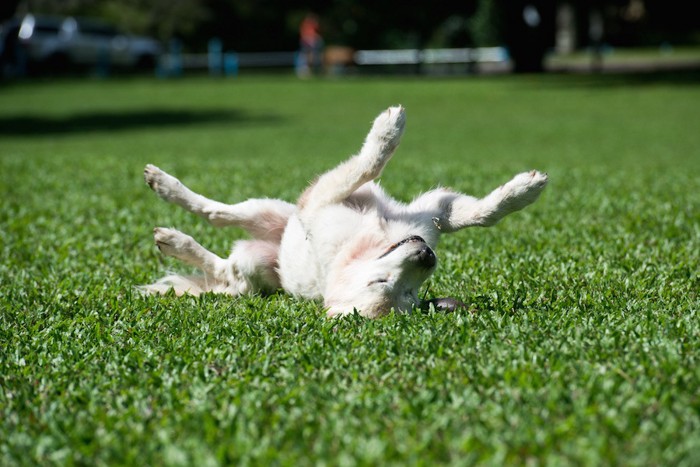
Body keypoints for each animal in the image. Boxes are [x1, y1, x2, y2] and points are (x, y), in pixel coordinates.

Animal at [142, 106, 548, 318]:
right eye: (381, 284)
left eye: (410, 296)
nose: (426, 255)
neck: (371, 242)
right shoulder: (320, 198)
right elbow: (367, 165)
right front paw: (388, 129)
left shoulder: (431, 214)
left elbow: (481, 213)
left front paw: (524, 191)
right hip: (263, 227)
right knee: (216, 219)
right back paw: (167, 203)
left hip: (266, 231)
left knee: (220, 249)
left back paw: (170, 233)